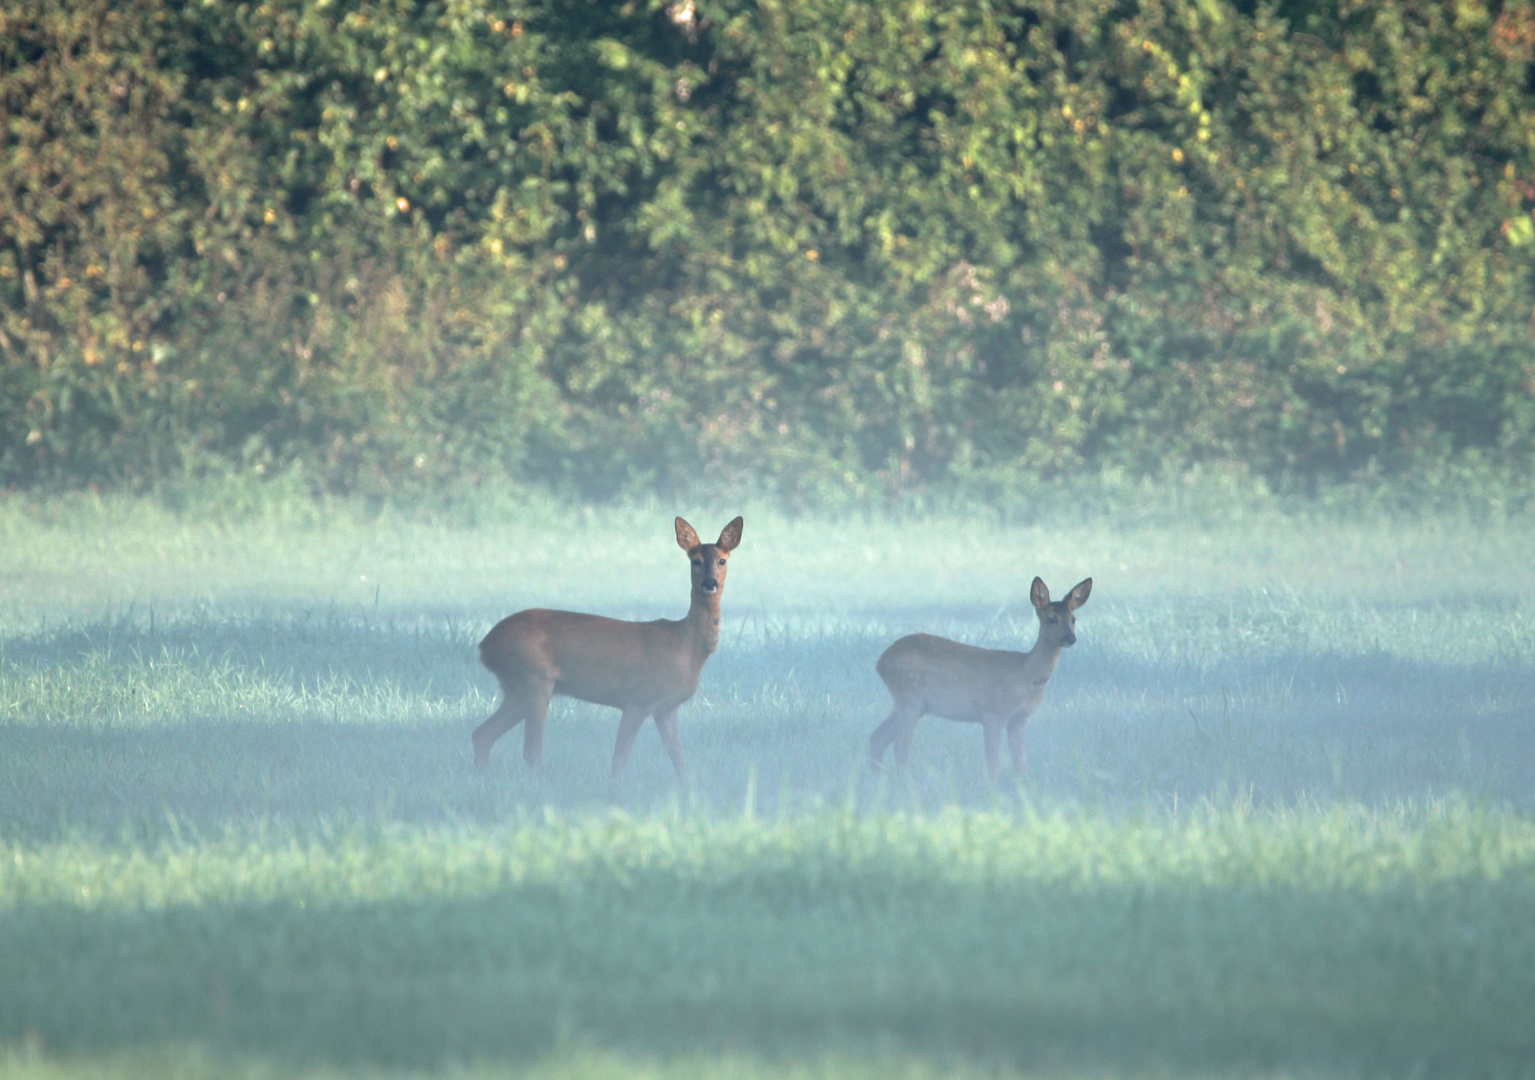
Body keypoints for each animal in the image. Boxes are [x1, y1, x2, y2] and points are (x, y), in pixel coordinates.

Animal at [475, 515, 746, 779]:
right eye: (695, 561)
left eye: (722, 560)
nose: (710, 583)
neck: (687, 645)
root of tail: (485, 645)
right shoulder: (638, 698)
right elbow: (619, 759)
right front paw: (614, 788)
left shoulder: (666, 708)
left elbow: (680, 761)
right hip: (534, 679)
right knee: (530, 751)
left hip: (517, 688)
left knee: (482, 734)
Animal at [865, 576, 1092, 779]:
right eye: (1052, 618)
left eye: (1073, 619)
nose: (1070, 638)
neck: (1027, 673)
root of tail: (880, 662)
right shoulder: (992, 712)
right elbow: (994, 763)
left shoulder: (1019, 719)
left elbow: (1021, 764)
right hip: (909, 698)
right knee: (900, 749)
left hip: (911, 704)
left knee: (878, 737)